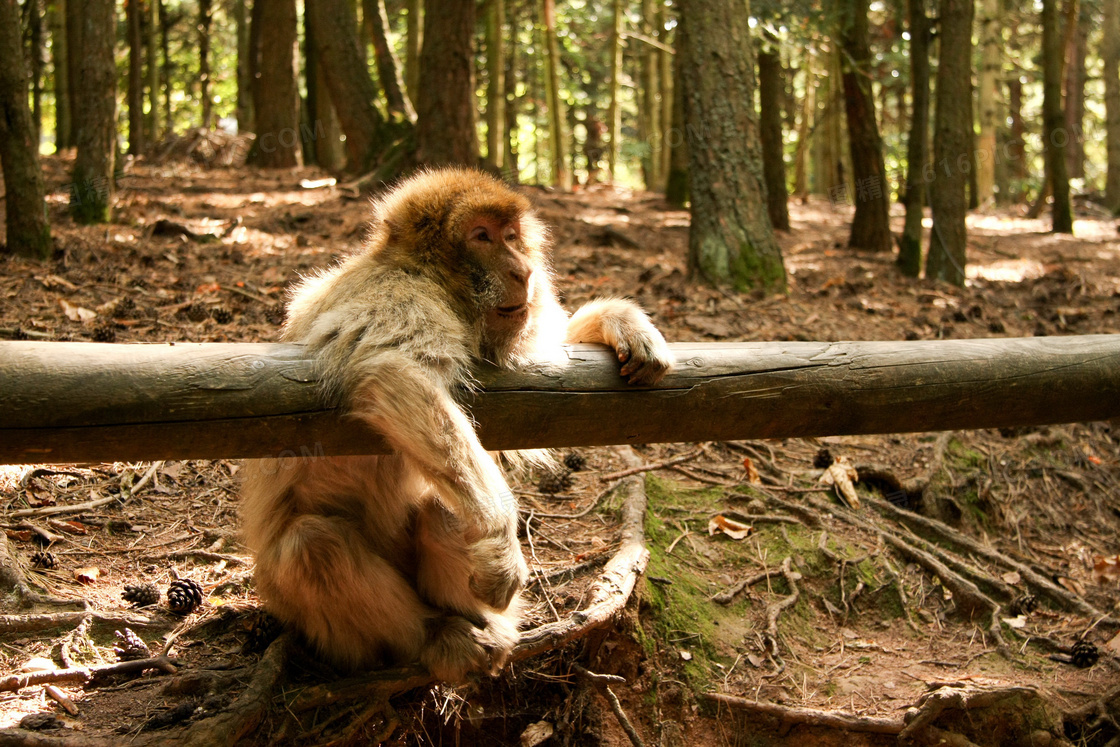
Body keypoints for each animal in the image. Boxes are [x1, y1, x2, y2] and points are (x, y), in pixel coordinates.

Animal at [239, 169, 667, 685]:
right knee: (313, 546)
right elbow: (392, 371)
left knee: (442, 509)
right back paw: (436, 634)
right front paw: (500, 540)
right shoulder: (400, 296)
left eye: (510, 235)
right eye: (481, 236)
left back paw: (483, 625)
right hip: (315, 622)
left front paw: (621, 322)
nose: (523, 271)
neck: (437, 282)